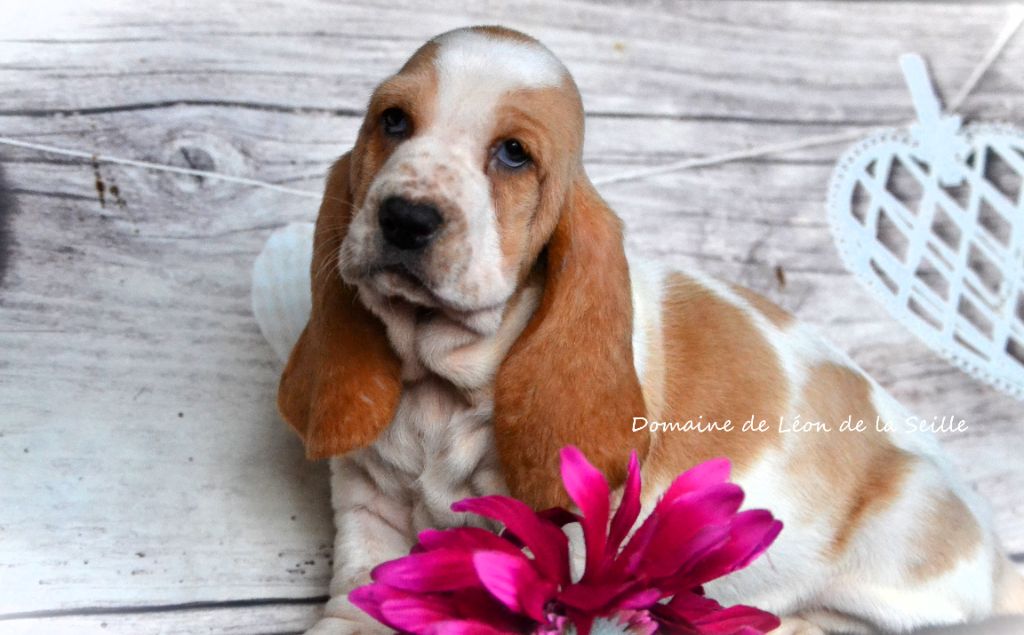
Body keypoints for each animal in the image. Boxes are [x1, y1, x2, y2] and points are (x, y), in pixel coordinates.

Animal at [258, 23, 1024, 630]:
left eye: (513, 154)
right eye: (393, 121)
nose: (406, 218)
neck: (441, 383)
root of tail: (996, 559)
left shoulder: (564, 539)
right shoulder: (370, 504)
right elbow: (357, 592)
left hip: (895, 548)